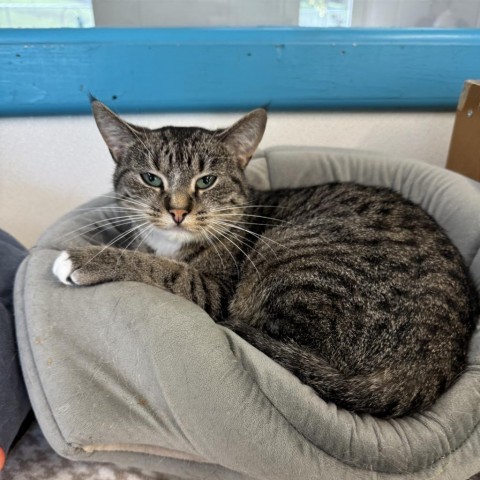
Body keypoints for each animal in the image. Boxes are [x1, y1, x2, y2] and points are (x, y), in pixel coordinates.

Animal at [53, 101, 476, 416]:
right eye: (151, 178)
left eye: (206, 181)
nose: (178, 211)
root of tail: (431, 364)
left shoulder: (214, 290)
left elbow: (165, 270)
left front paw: (84, 259)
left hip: (293, 263)